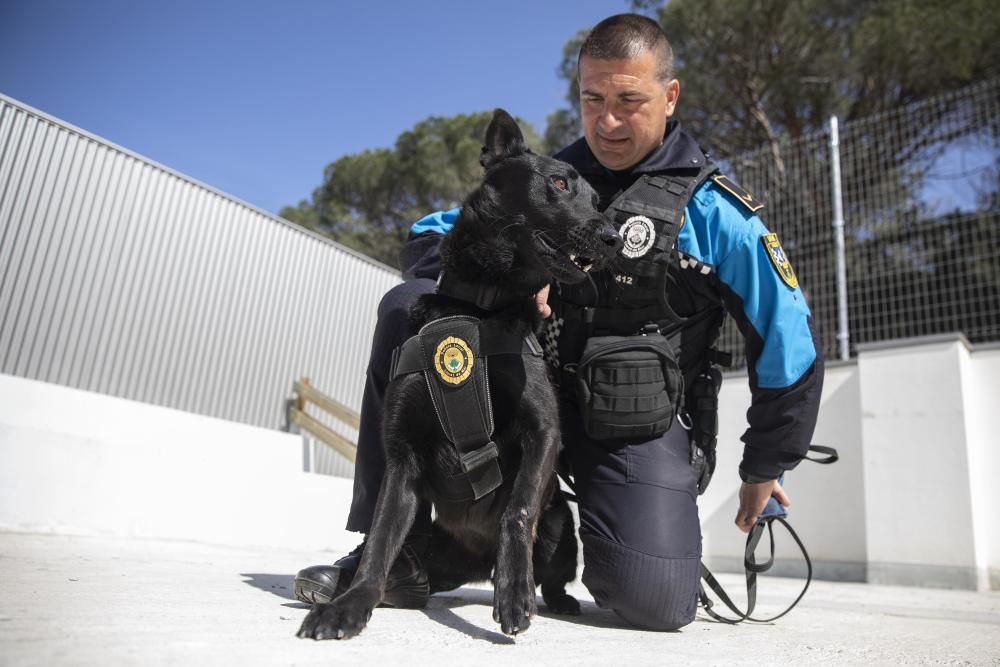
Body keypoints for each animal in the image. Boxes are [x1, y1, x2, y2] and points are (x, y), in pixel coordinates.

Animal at [296, 109, 620, 640]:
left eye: (597, 201)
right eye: (557, 183)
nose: (613, 238)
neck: (481, 306)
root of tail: (474, 565)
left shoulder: (543, 434)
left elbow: (518, 510)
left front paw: (514, 591)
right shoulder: (402, 460)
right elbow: (380, 537)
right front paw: (349, 605)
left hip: (561, 525)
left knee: (550, 563)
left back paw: (551, 595)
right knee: (402, 558)